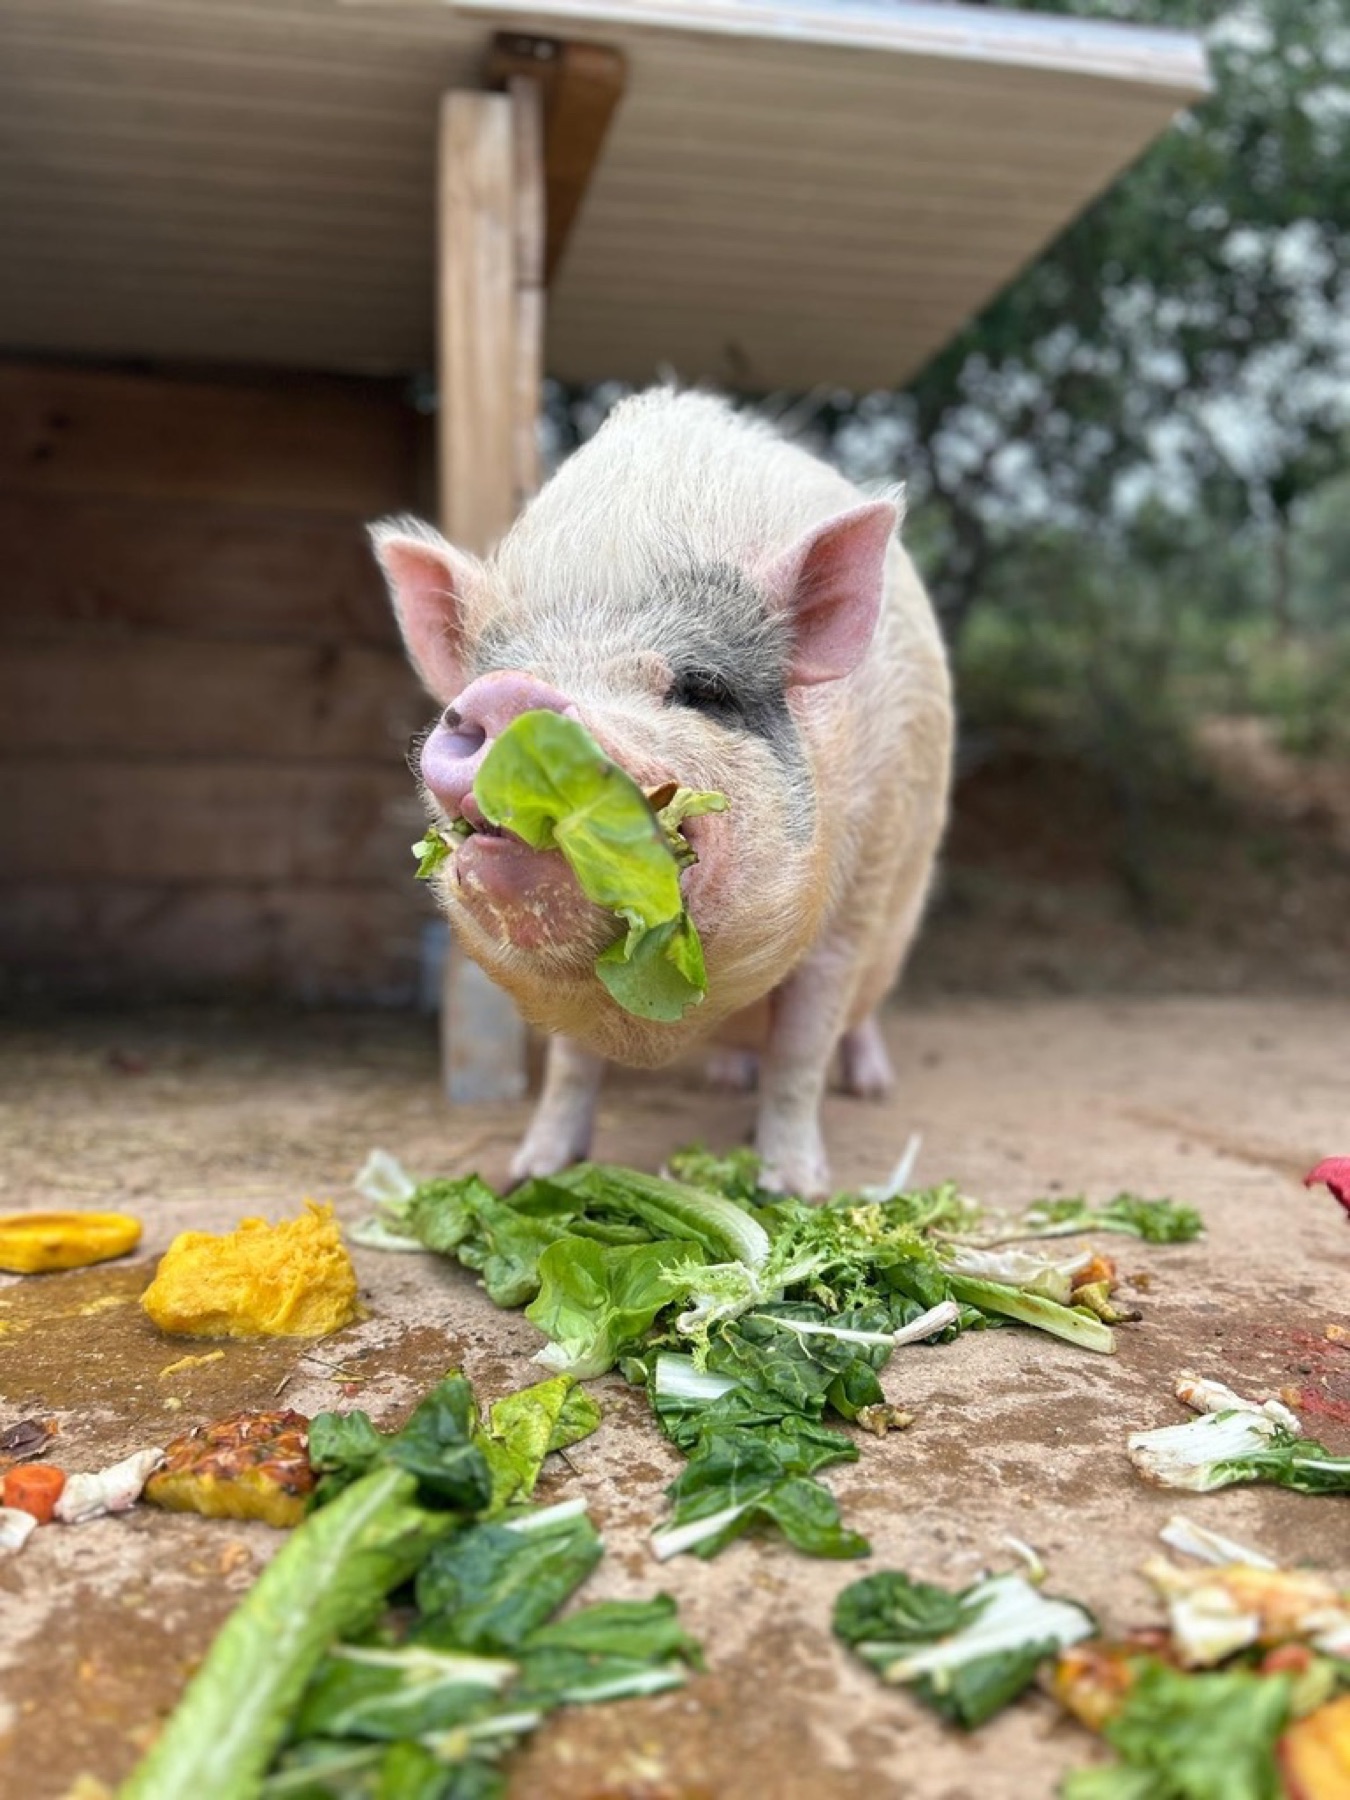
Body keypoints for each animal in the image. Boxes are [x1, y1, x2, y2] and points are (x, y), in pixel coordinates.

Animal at [371, 389, 952, 1196]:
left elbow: (803, 1047)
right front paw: (531, 1174)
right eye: (490, 676)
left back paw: (869, 1087)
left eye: (700, 687)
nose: (509, 696)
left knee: (855, 1019)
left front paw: (791, 1187)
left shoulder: (856, 899)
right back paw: (728, 1078)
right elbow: (569, 1068)